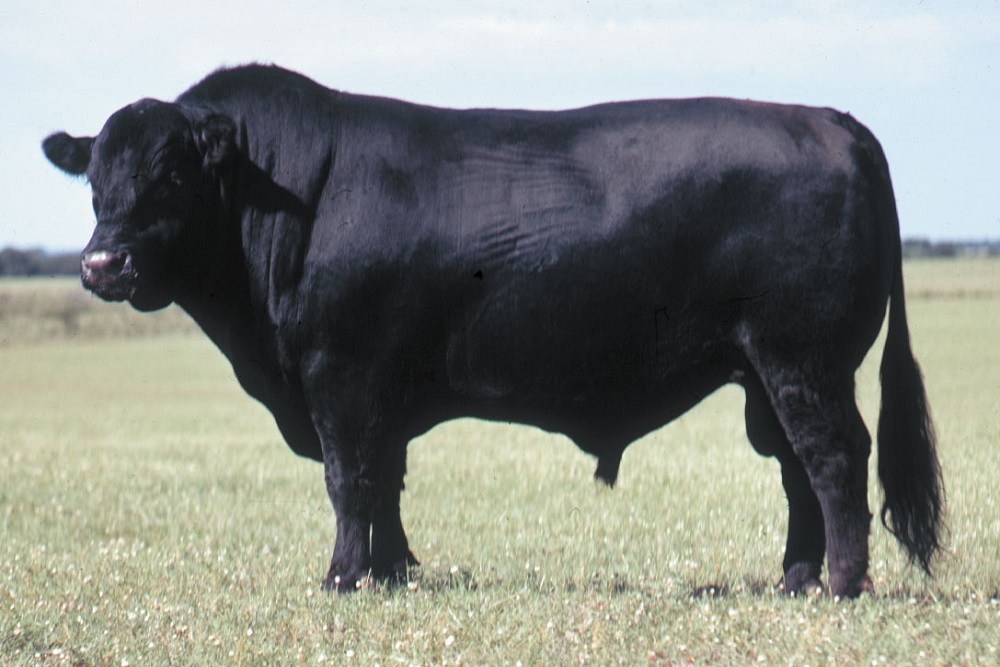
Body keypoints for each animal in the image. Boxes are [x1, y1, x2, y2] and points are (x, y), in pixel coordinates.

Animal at [42, 64, 942, 598]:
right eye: (94, 180)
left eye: (172, 173)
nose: (102, 264)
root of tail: (829, 118)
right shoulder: (380, 389)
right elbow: (386, 479)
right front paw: (395, 570)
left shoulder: (342, 376)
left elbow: (348, 478)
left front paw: (344, 576)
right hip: (766, 372)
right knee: (795, 469)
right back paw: (795, 577)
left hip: (803, 360)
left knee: (833, 459)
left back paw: (841, 583)